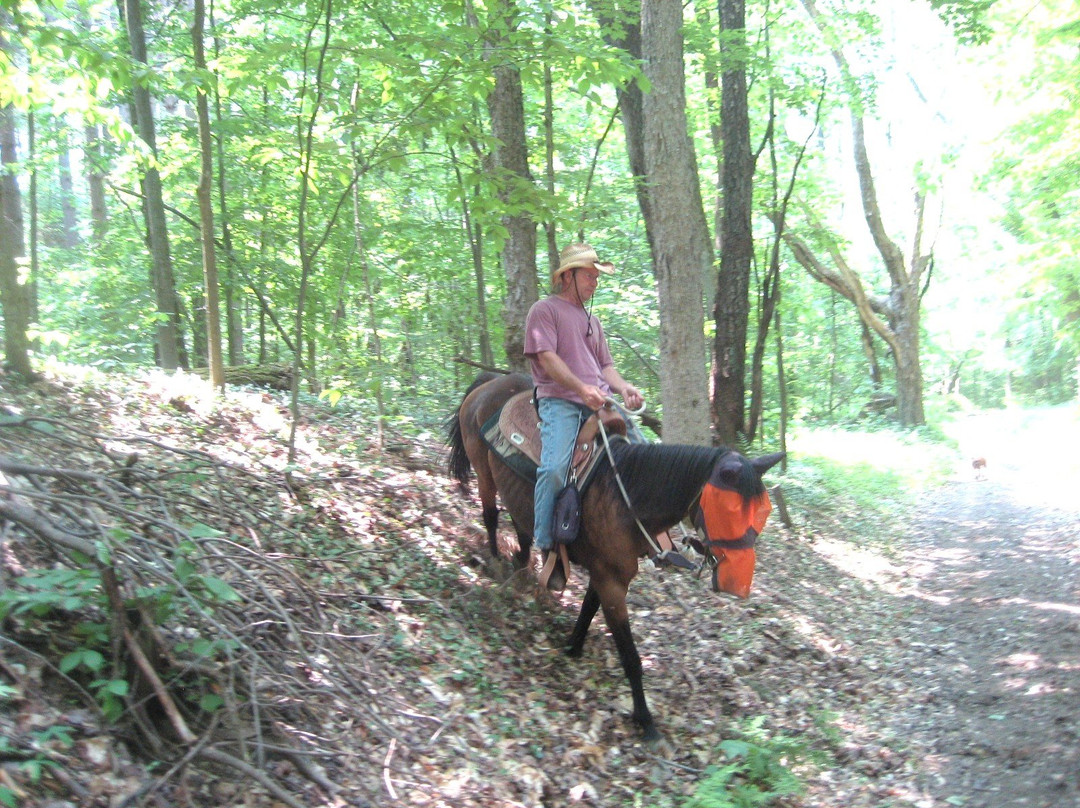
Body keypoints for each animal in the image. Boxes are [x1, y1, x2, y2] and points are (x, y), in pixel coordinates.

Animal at [442, 371, 781, 738]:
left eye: (764, 512)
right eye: (728, 508)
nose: (738, 584)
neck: (629, 494)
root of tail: (491, 381)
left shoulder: (608, 573)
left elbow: (588, 609)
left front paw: (573, 646)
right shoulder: (612, 581)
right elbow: (630, 655)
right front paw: (645, 720)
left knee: (521, 526)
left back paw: (521, 567)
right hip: (483, 470)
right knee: (490, 516)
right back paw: (495, 562)